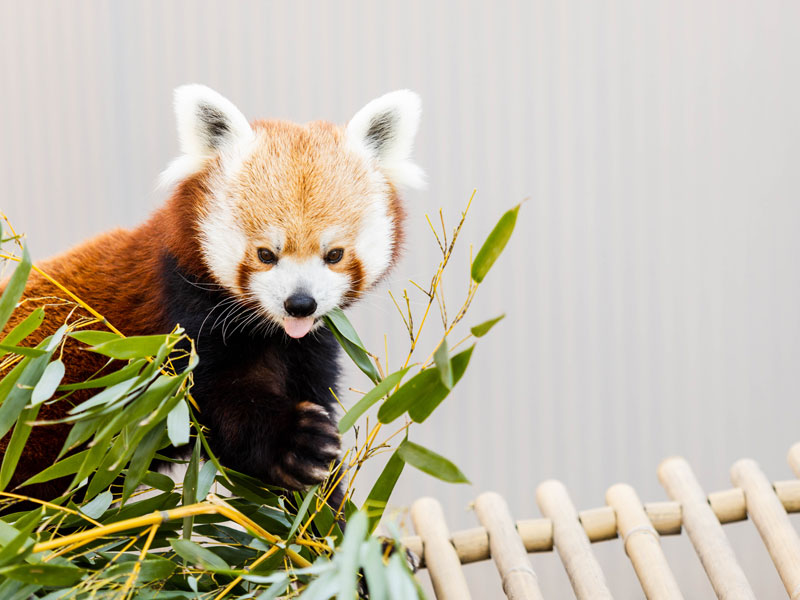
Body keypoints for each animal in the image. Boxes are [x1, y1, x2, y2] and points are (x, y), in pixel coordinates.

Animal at [0, 85, 424, 502]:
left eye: (334, 255)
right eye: (265, 254)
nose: (300, 304)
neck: (272, 333)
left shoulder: (311, 347)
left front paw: (326, 503)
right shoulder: (177, 325)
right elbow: (215, 406)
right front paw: (298, 443)